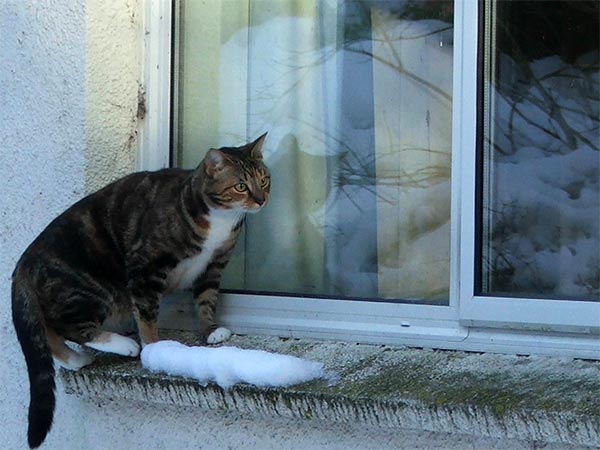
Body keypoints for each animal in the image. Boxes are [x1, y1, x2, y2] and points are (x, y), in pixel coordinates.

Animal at [12, 132, 270, 448]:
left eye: (264, 179)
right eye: (241, 186)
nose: (261, 199)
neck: (220, 220)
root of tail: (25, 260)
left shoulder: (213, 266)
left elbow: (207, 300)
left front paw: (211, 331)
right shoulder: (145, 268)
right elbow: (147, 315)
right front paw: (155, 349)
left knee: (48, 331)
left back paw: (77, 359)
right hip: (91, 287)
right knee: (69, 326)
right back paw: (122, 345)